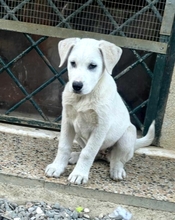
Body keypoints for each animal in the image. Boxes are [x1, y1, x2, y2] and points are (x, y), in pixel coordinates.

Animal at [45, 37, 154, 184]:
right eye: (72, 63)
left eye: (92, 66)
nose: (76, 85)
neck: (84, 97)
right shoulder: (67, 122)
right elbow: (64, 146)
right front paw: (57, 167)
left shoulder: (100, 127)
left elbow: (88, 153)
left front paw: (79, 174)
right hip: (79, 135)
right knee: (93, 153)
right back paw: (75, 156)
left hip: (127, 136)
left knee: (116, 159)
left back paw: (116, 170)